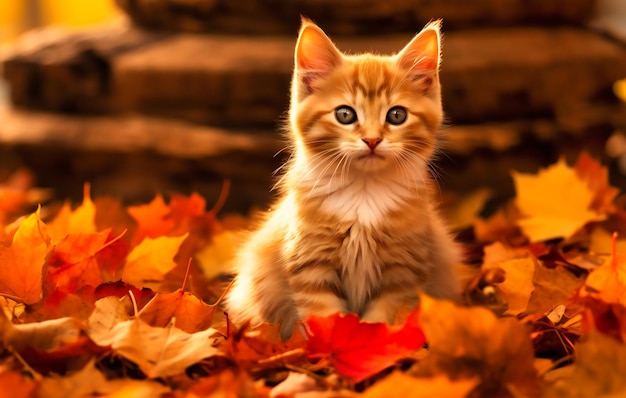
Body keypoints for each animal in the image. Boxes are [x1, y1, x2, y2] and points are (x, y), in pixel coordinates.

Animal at [224, 18, 458, 338]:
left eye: (396, 115)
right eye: (345, 114)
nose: (372, 140)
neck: (364, 192)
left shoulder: (403, 272)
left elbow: (382, 322)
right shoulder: (310, 265)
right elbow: (325, 318)